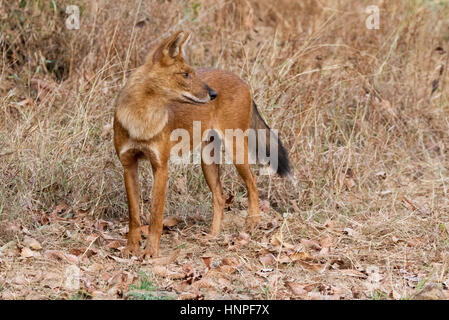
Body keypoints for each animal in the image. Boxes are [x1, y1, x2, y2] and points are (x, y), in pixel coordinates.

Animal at [113, 30, 290, 258]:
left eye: (191, 73)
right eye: (185, 74)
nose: (213, 94)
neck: (141, 120)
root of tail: (242, 81)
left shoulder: (161, 166)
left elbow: (155, 215)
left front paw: (150, 251)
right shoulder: (128, 165)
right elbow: (134, 215)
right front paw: (131, 248)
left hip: (235, 150)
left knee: (252, 181)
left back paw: (252, 223)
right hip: (208, 161)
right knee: (220, 196)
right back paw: (213, 236)